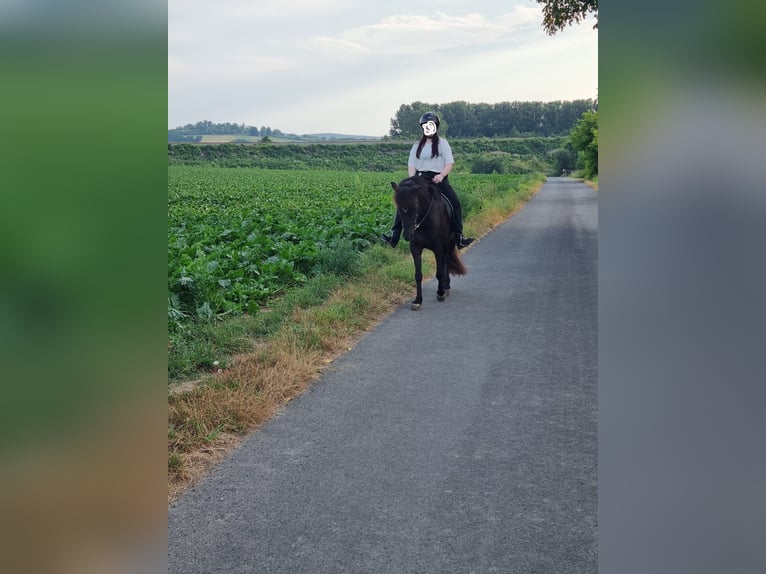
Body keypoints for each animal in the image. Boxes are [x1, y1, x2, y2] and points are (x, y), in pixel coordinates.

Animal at [390, 177, 468, 310]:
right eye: (399, 208)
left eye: (415, 207)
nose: (407, 235)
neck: (424, 220)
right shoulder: (415, 248)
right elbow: (418, 275)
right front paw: (418, 300)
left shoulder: (438, 247)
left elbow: (439, 272)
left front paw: (440, 293)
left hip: (449, 244)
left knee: (446, 262)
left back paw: (446, 287)